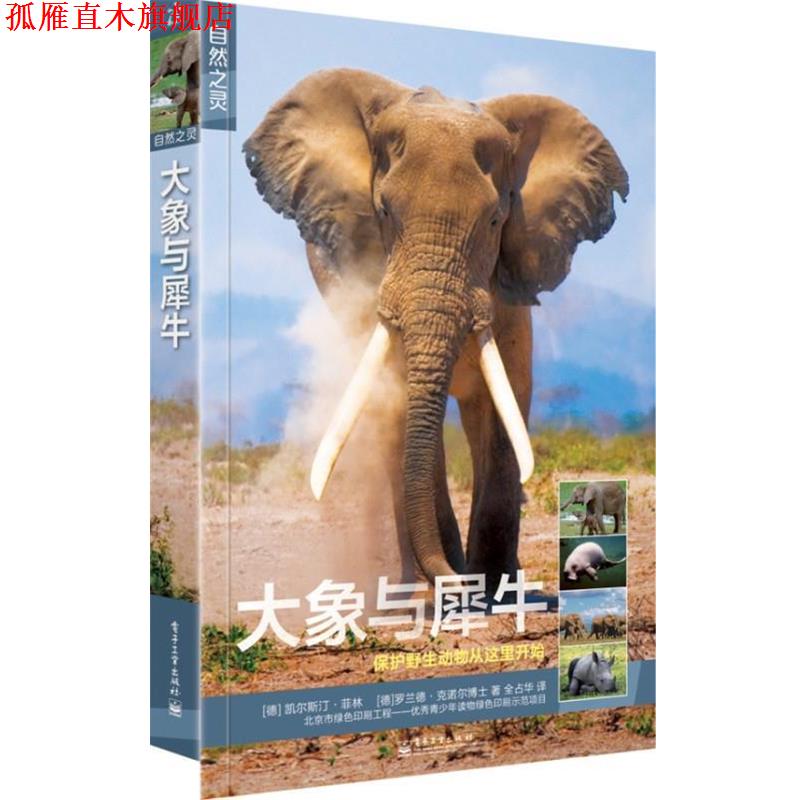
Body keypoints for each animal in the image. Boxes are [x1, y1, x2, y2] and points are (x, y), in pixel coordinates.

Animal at [244, 69, 628, 591]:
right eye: (384, 211)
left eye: (495, 220)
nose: (456, 579)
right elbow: (403, 408)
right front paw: (450, 589)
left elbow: (504, 403)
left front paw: (495, 589)